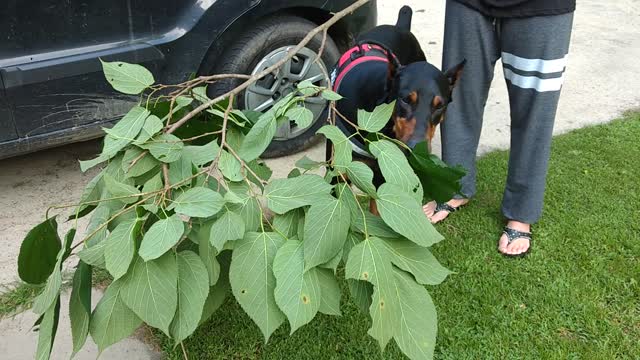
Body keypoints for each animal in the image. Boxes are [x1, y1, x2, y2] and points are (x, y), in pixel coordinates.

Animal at [328, 4, 462, 208]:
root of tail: (400, 26)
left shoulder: (384, 172)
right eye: (405, 99)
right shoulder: (337, 174)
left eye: (440, 106)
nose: (416, 149)